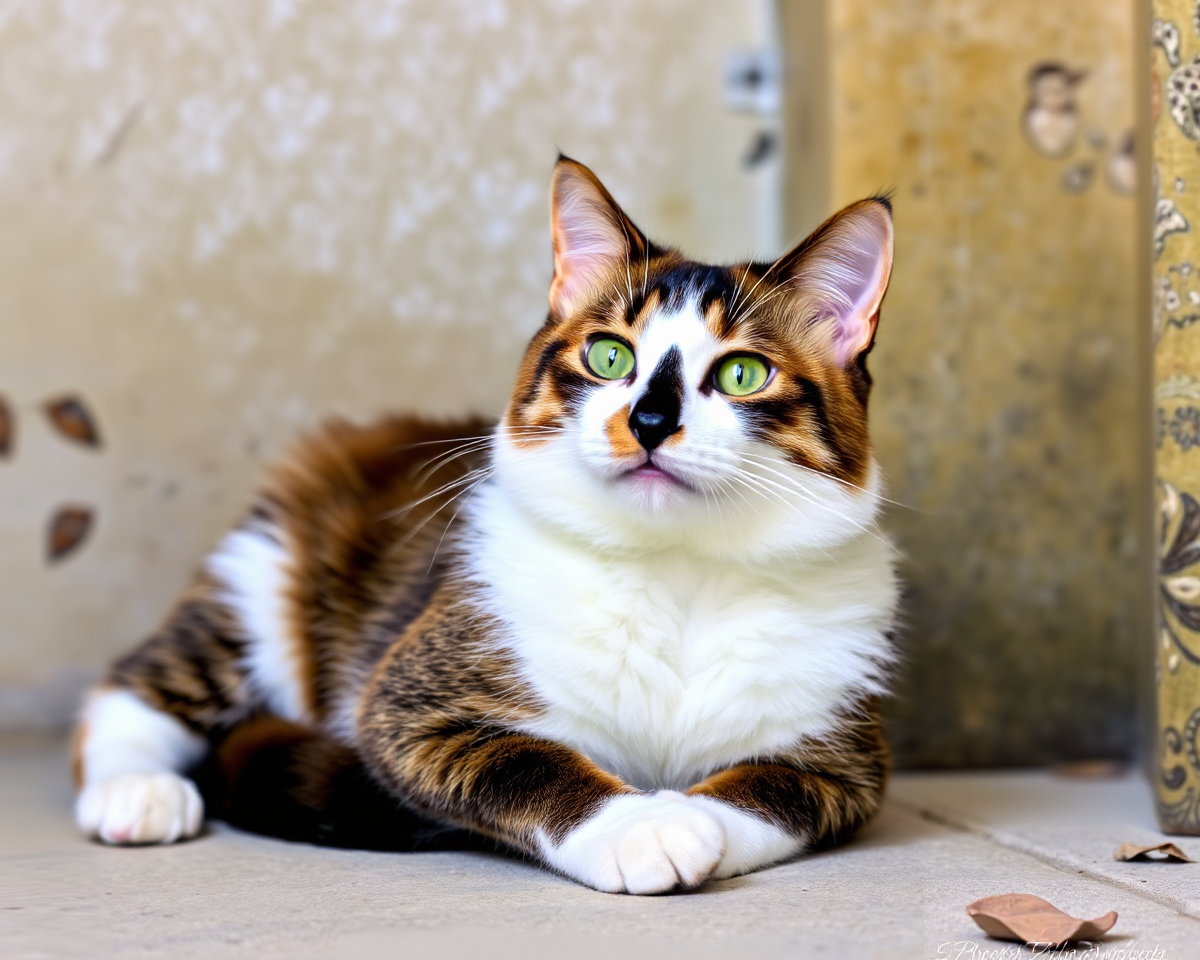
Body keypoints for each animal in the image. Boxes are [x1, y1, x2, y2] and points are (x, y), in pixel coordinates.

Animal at [72, 156, 902, 892]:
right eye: (610, 357)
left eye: (741, 374)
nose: (649, 420)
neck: (679, 564)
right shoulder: (412, 700)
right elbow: (526, 761)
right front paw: (638, 825)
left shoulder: (844, 757)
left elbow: (770, 791)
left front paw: (691, 814)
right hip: (261, 575)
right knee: (144, 682)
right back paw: (134, 788)